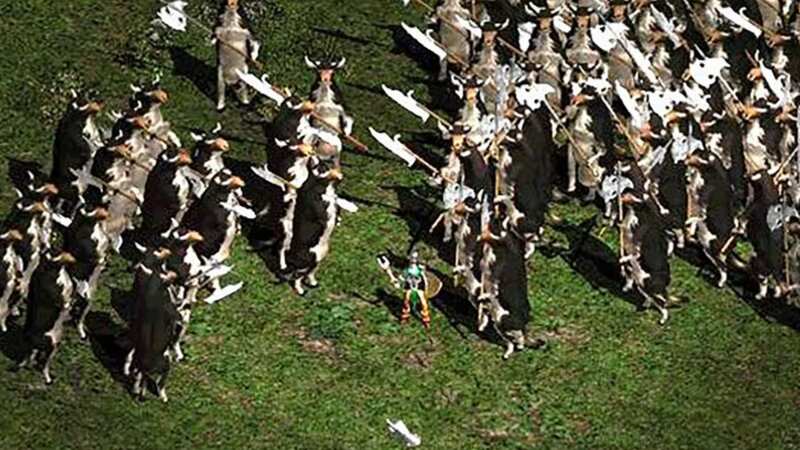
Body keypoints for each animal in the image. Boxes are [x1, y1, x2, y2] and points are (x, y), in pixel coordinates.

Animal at [19, 252, 76, 384]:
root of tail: (31, 343)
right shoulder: (58, 298)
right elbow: (65, 302)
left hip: (54, 346)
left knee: (40, 361)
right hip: (50, 343)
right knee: (44, 364)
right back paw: (48, 379)